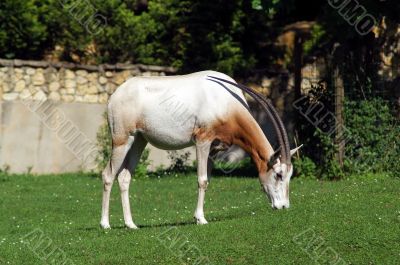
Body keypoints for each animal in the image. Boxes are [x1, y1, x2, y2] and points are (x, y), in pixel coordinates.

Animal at [100, 70, 300, 229]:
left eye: (290, 175)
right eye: (278, 174)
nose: (284, 206)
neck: (226, 102)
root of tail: (114, 96)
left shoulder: (214, 148)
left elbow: (208, 180)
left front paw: (199, 216)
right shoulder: (202, 141)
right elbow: (202, 180)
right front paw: (201, 219)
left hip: (138, 140)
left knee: (124, 177)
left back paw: (130, 224)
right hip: (122, 140)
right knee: (108, 174)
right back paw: (105, 224)